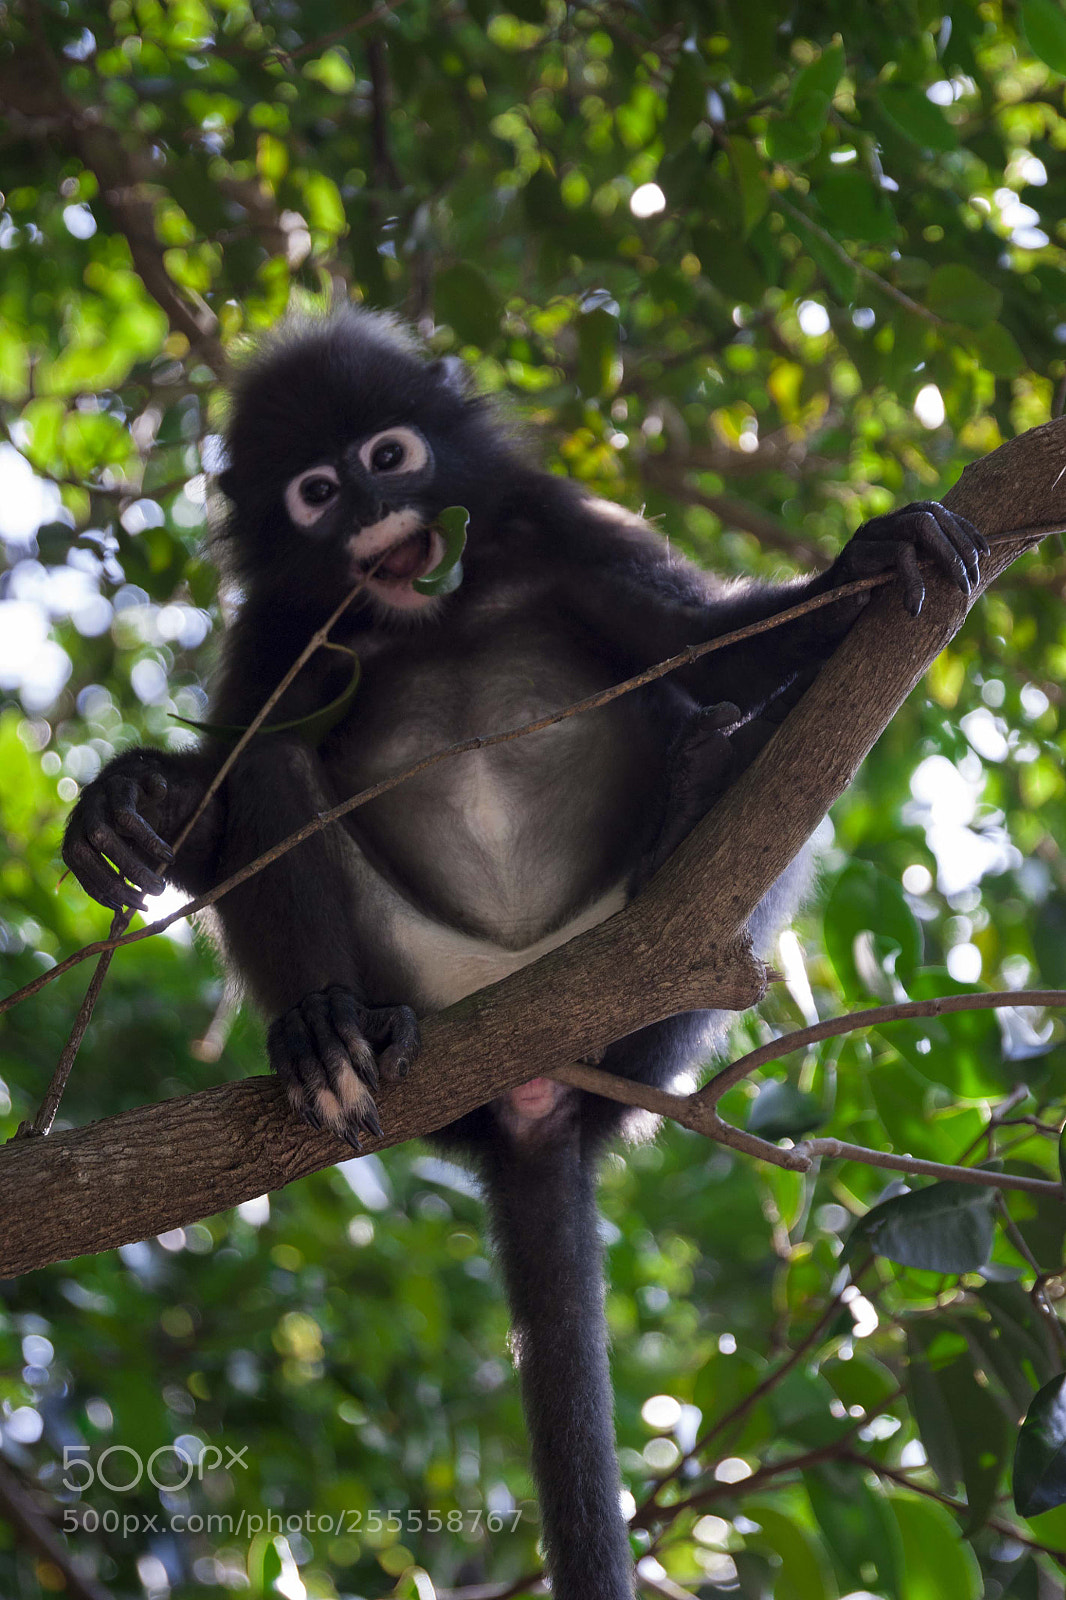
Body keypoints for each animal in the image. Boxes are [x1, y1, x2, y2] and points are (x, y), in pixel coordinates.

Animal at [62, 308, 986, 1600]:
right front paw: (126, 802)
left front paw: (865, 560)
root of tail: (535, 1085)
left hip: (660, 1005)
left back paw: (691, 818)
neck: (430, 609)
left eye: (388, 454)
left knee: (721, 733)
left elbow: (702, 645)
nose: (373, 511)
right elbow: (236, 798)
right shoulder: (279, 633)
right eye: (315, 491)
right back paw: (331, 1033)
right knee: (284, 770)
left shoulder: (558, 521)